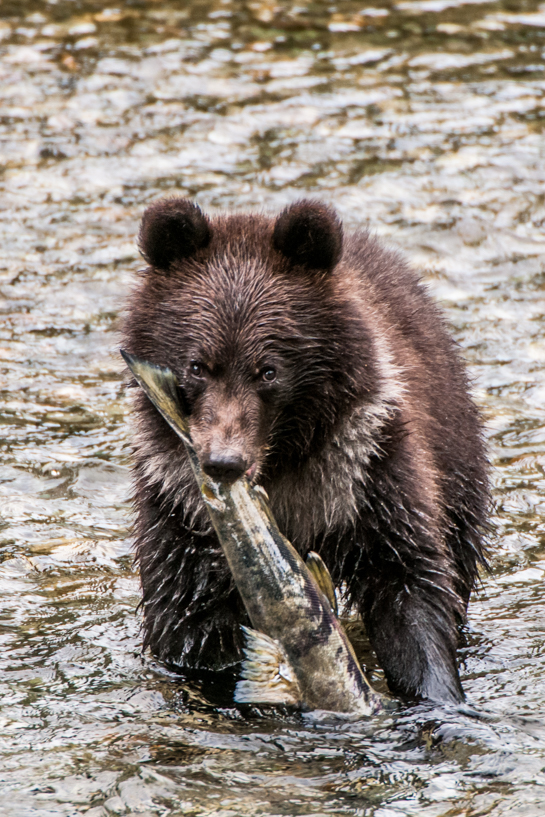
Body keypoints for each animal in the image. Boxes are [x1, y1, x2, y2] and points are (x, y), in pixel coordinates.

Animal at [122, 197, 489, 704]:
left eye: (268, 370)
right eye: (197, 365)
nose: (224, 461)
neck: (281, 467)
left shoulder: (365, 470)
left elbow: (410, 585)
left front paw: (436, 692)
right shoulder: (176, 507)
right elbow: (186, 621)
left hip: (453, 448)